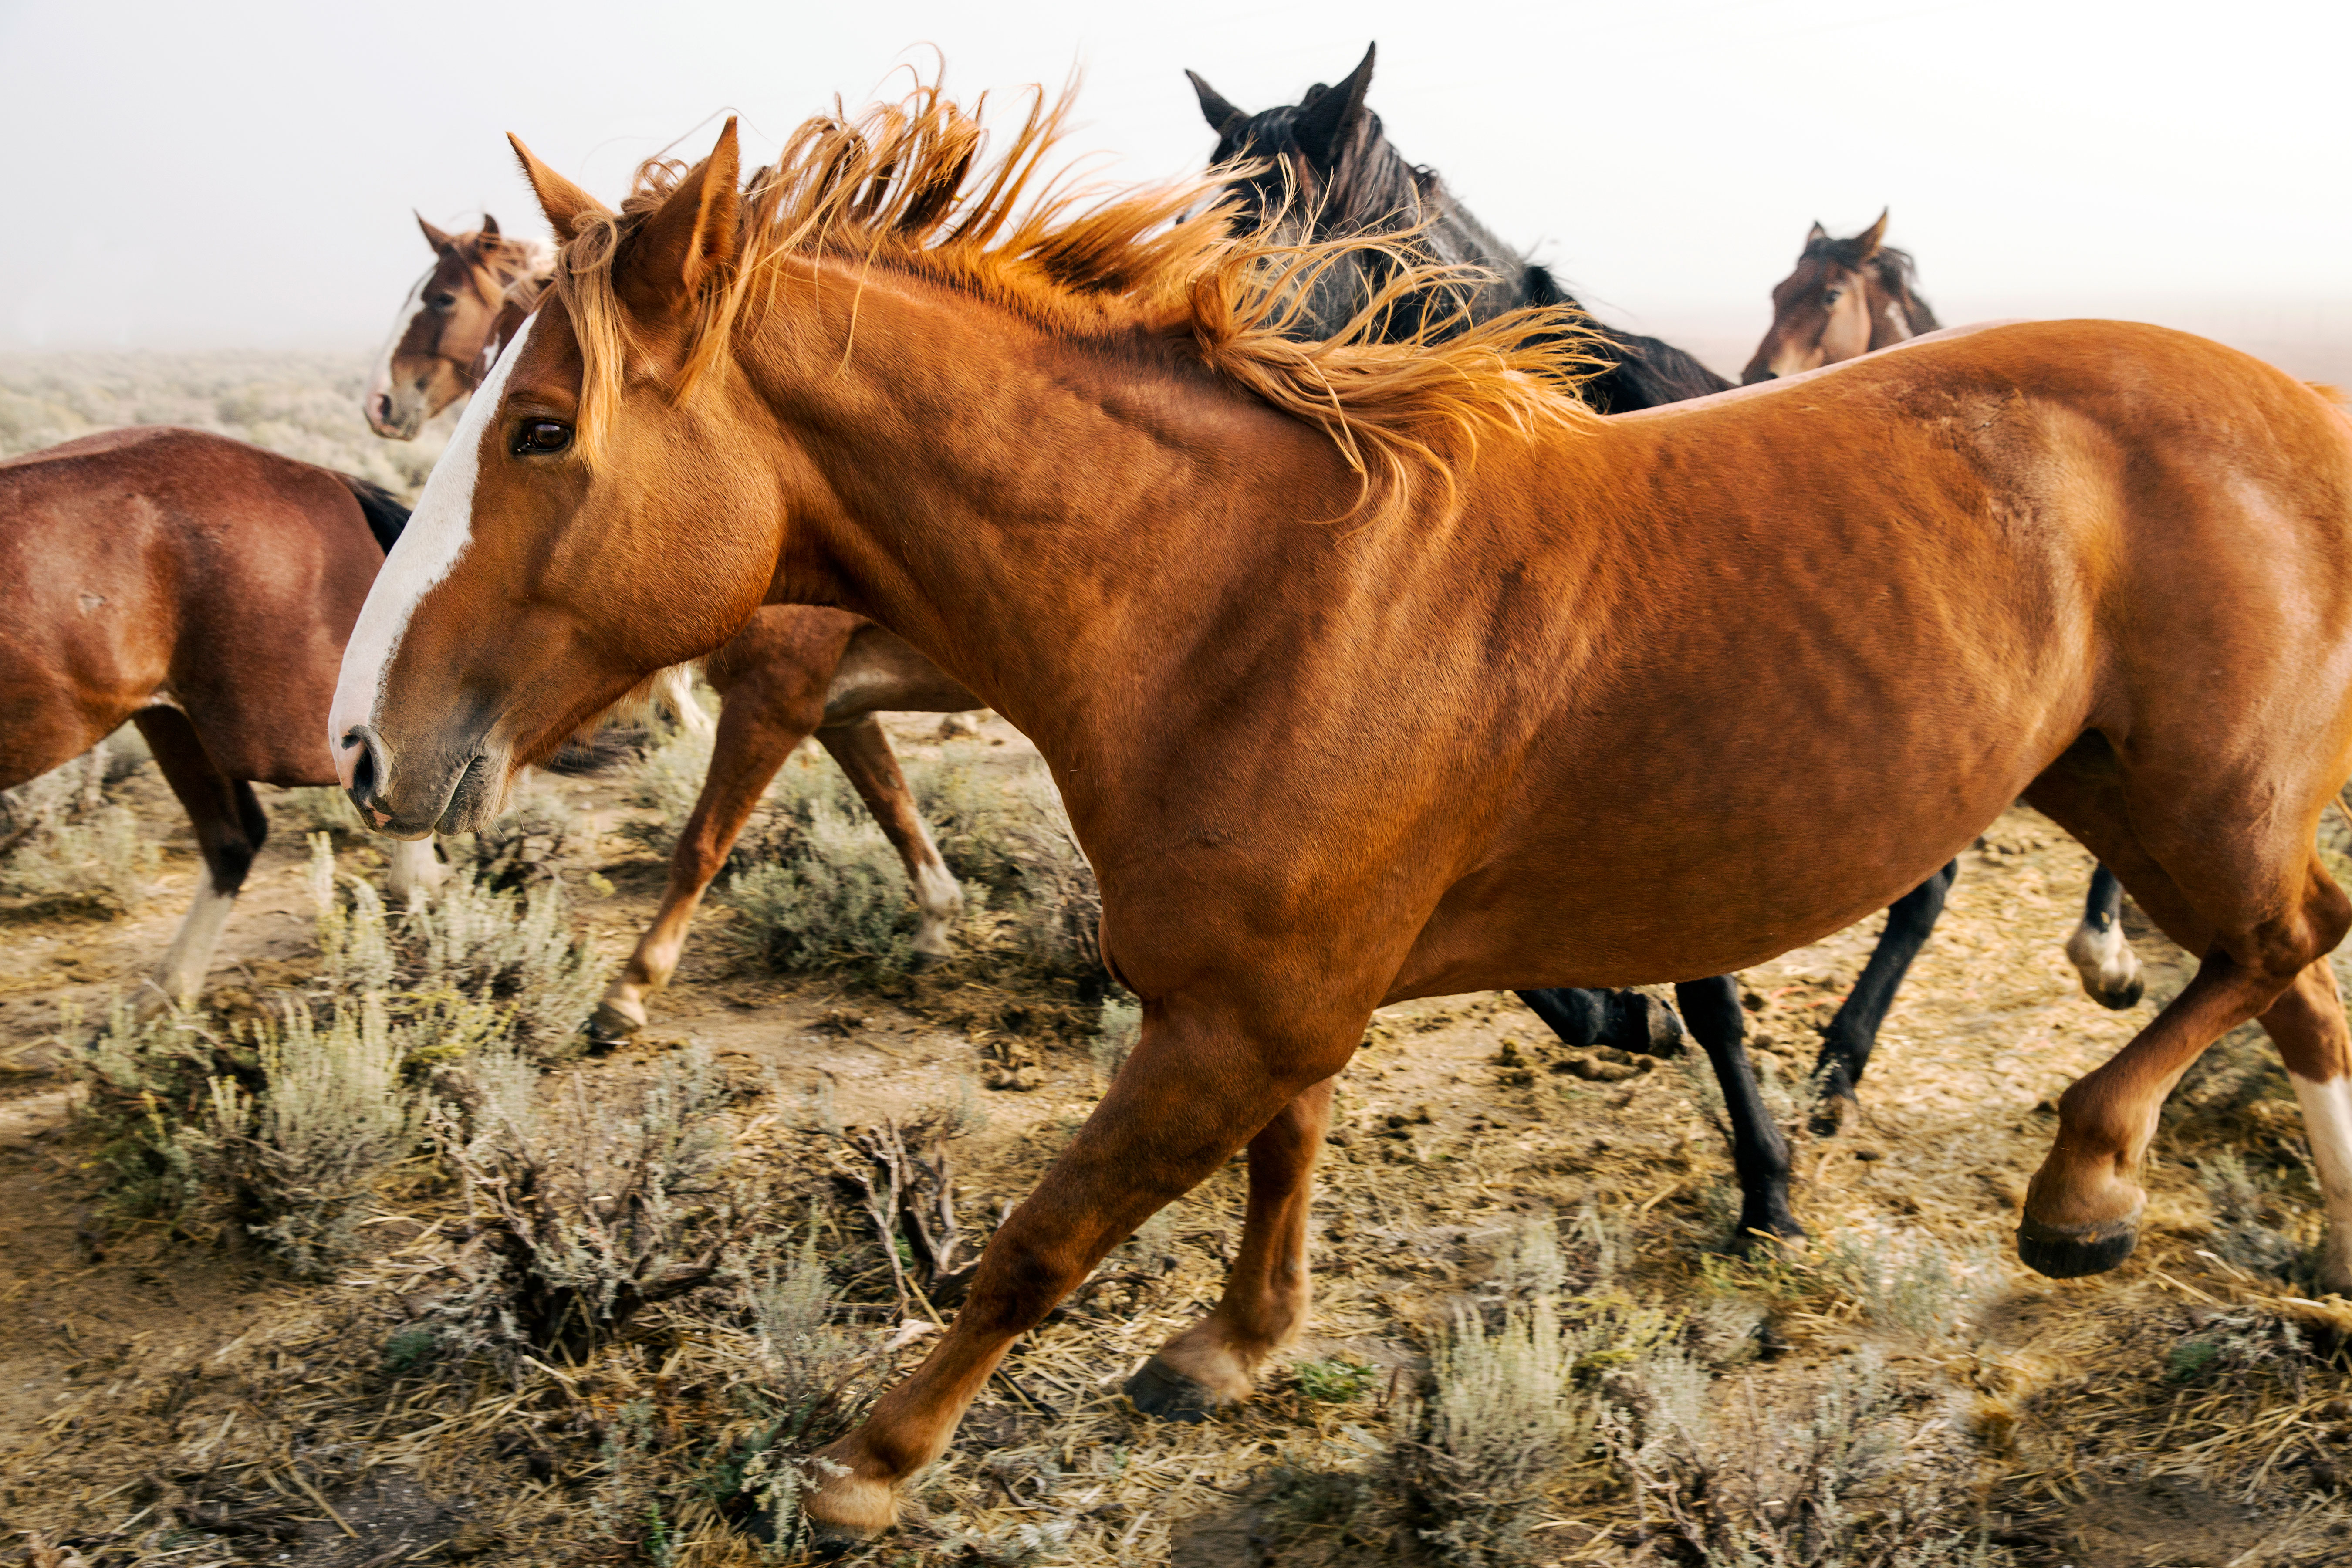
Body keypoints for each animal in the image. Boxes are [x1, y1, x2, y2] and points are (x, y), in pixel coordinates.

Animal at [360, 212, 981, 1039]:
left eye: (440, 297)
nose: (381, 404)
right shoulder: (836, 709)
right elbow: (895, 807)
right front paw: (938, 920)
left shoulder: (774, 698)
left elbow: (701, 844)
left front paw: (631, 987)